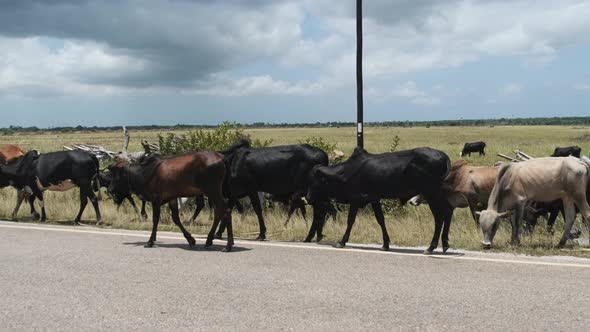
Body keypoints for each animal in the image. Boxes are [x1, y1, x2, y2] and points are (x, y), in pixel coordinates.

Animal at [306, 147, 454, 253]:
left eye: (314, 180)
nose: (307, 198)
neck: (345, 172)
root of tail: (444, 156)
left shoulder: (355, 200)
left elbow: (350, 221)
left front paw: (342, 242)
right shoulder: (374, 199)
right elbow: (380, 220)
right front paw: (385, 244)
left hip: (431, 195)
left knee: (439, 218)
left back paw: (431, 247)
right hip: (438, 196)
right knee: (448, 213)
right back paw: (445, 244)